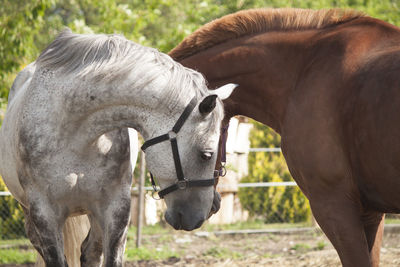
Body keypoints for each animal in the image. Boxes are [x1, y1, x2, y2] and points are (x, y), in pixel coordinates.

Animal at [0, 29, 236, 267]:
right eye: (206, 154)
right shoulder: (44, 213)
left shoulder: (115, 208)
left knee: (89, 252)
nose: (204, 213)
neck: (74, 134)